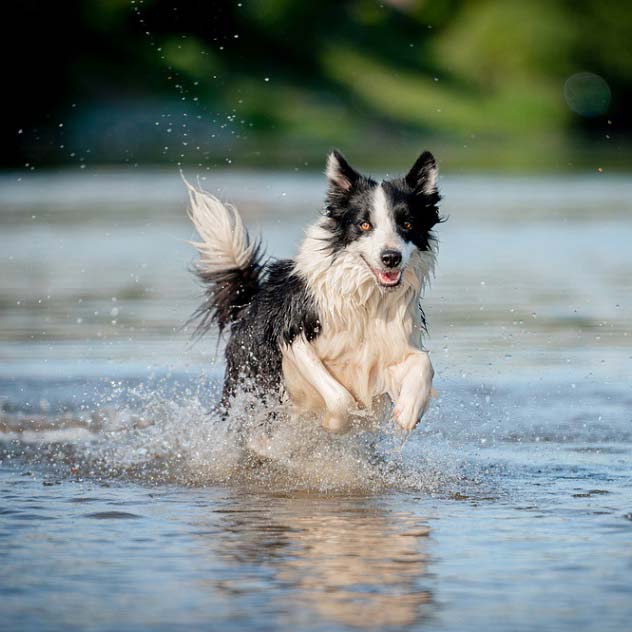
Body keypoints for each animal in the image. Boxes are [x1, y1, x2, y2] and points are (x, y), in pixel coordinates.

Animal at [185, 151, 442, 434]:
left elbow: (424, 362)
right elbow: (340, 397)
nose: (391, 258)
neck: (366, 300)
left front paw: (409, 410)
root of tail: (250, 300)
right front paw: (334, 423)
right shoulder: (292, 334)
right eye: (364, 225)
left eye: (407, 224)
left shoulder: (390, 346)